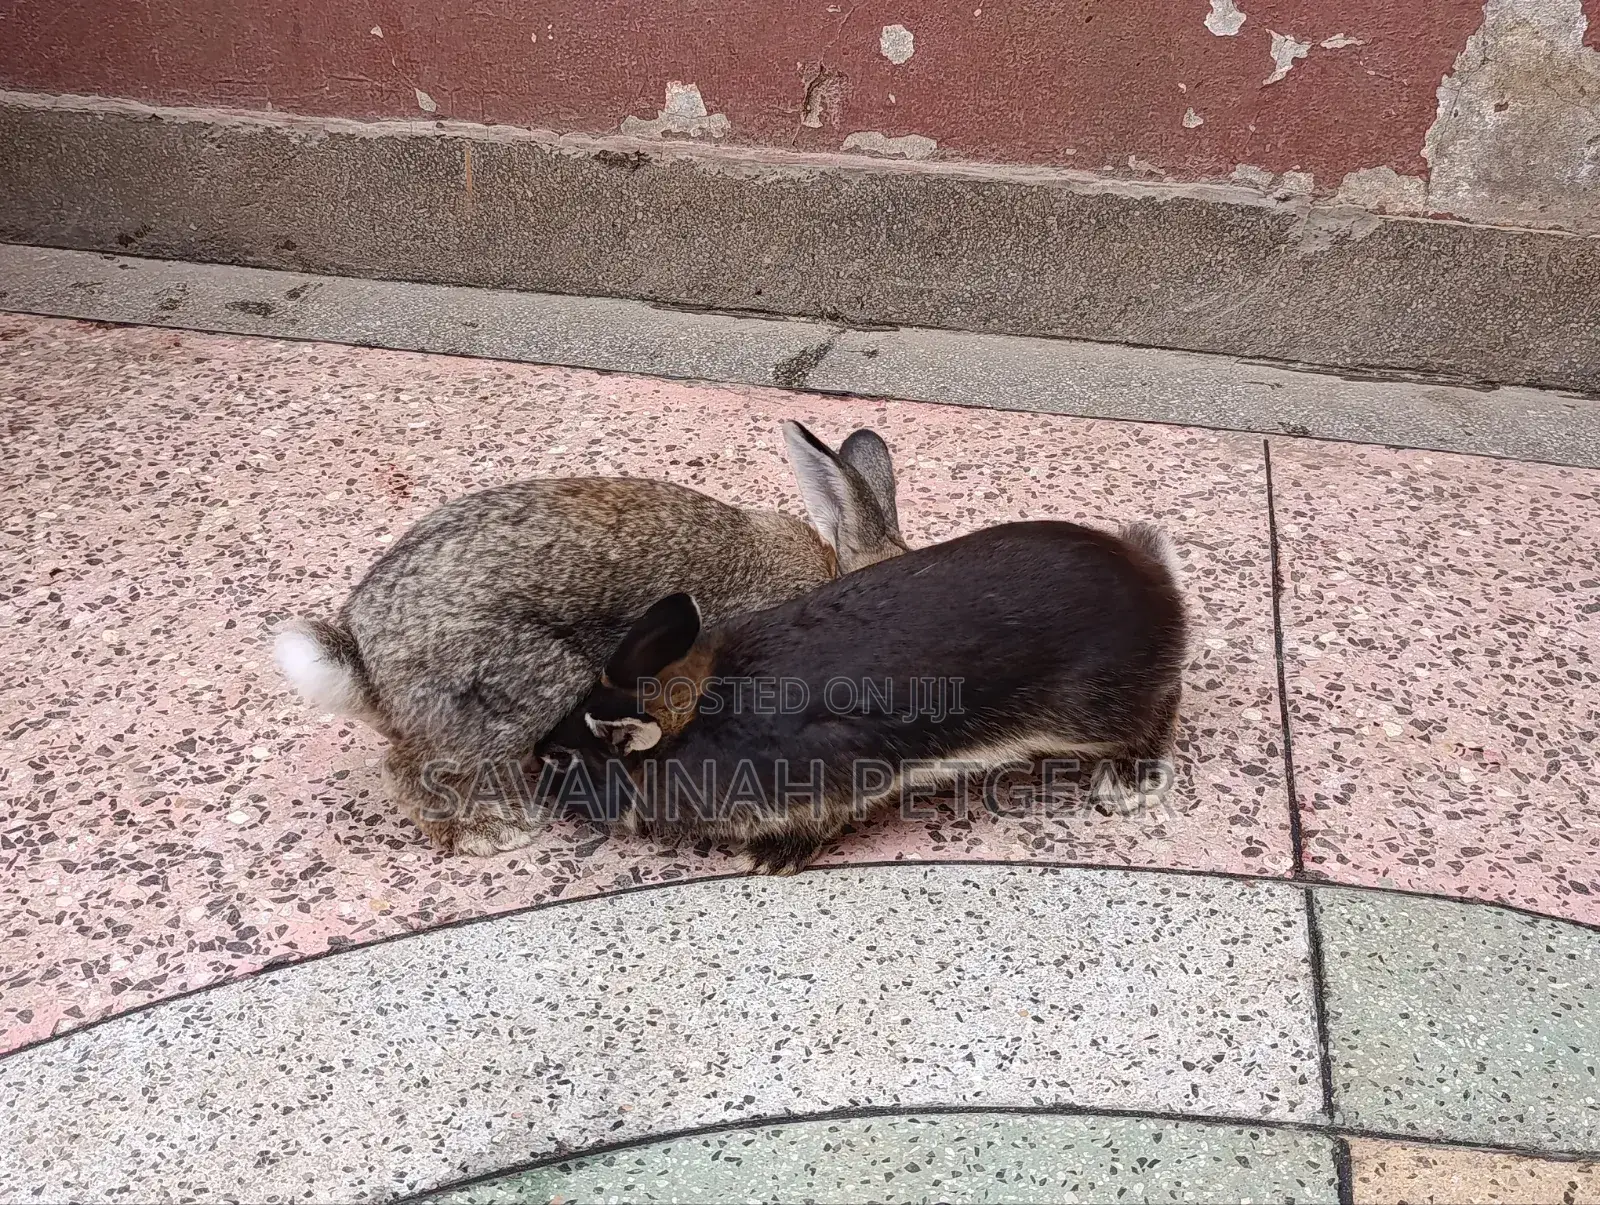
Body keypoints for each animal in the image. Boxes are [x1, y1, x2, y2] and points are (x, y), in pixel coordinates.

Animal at [544, 518, 1188, 875]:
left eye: (564, 762)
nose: (542, 789)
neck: (699, 717)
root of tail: (1161, 588)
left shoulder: (829, 778)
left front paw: (770, 858)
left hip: (1090, 712)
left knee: (1160, 705)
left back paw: (1128, 781)